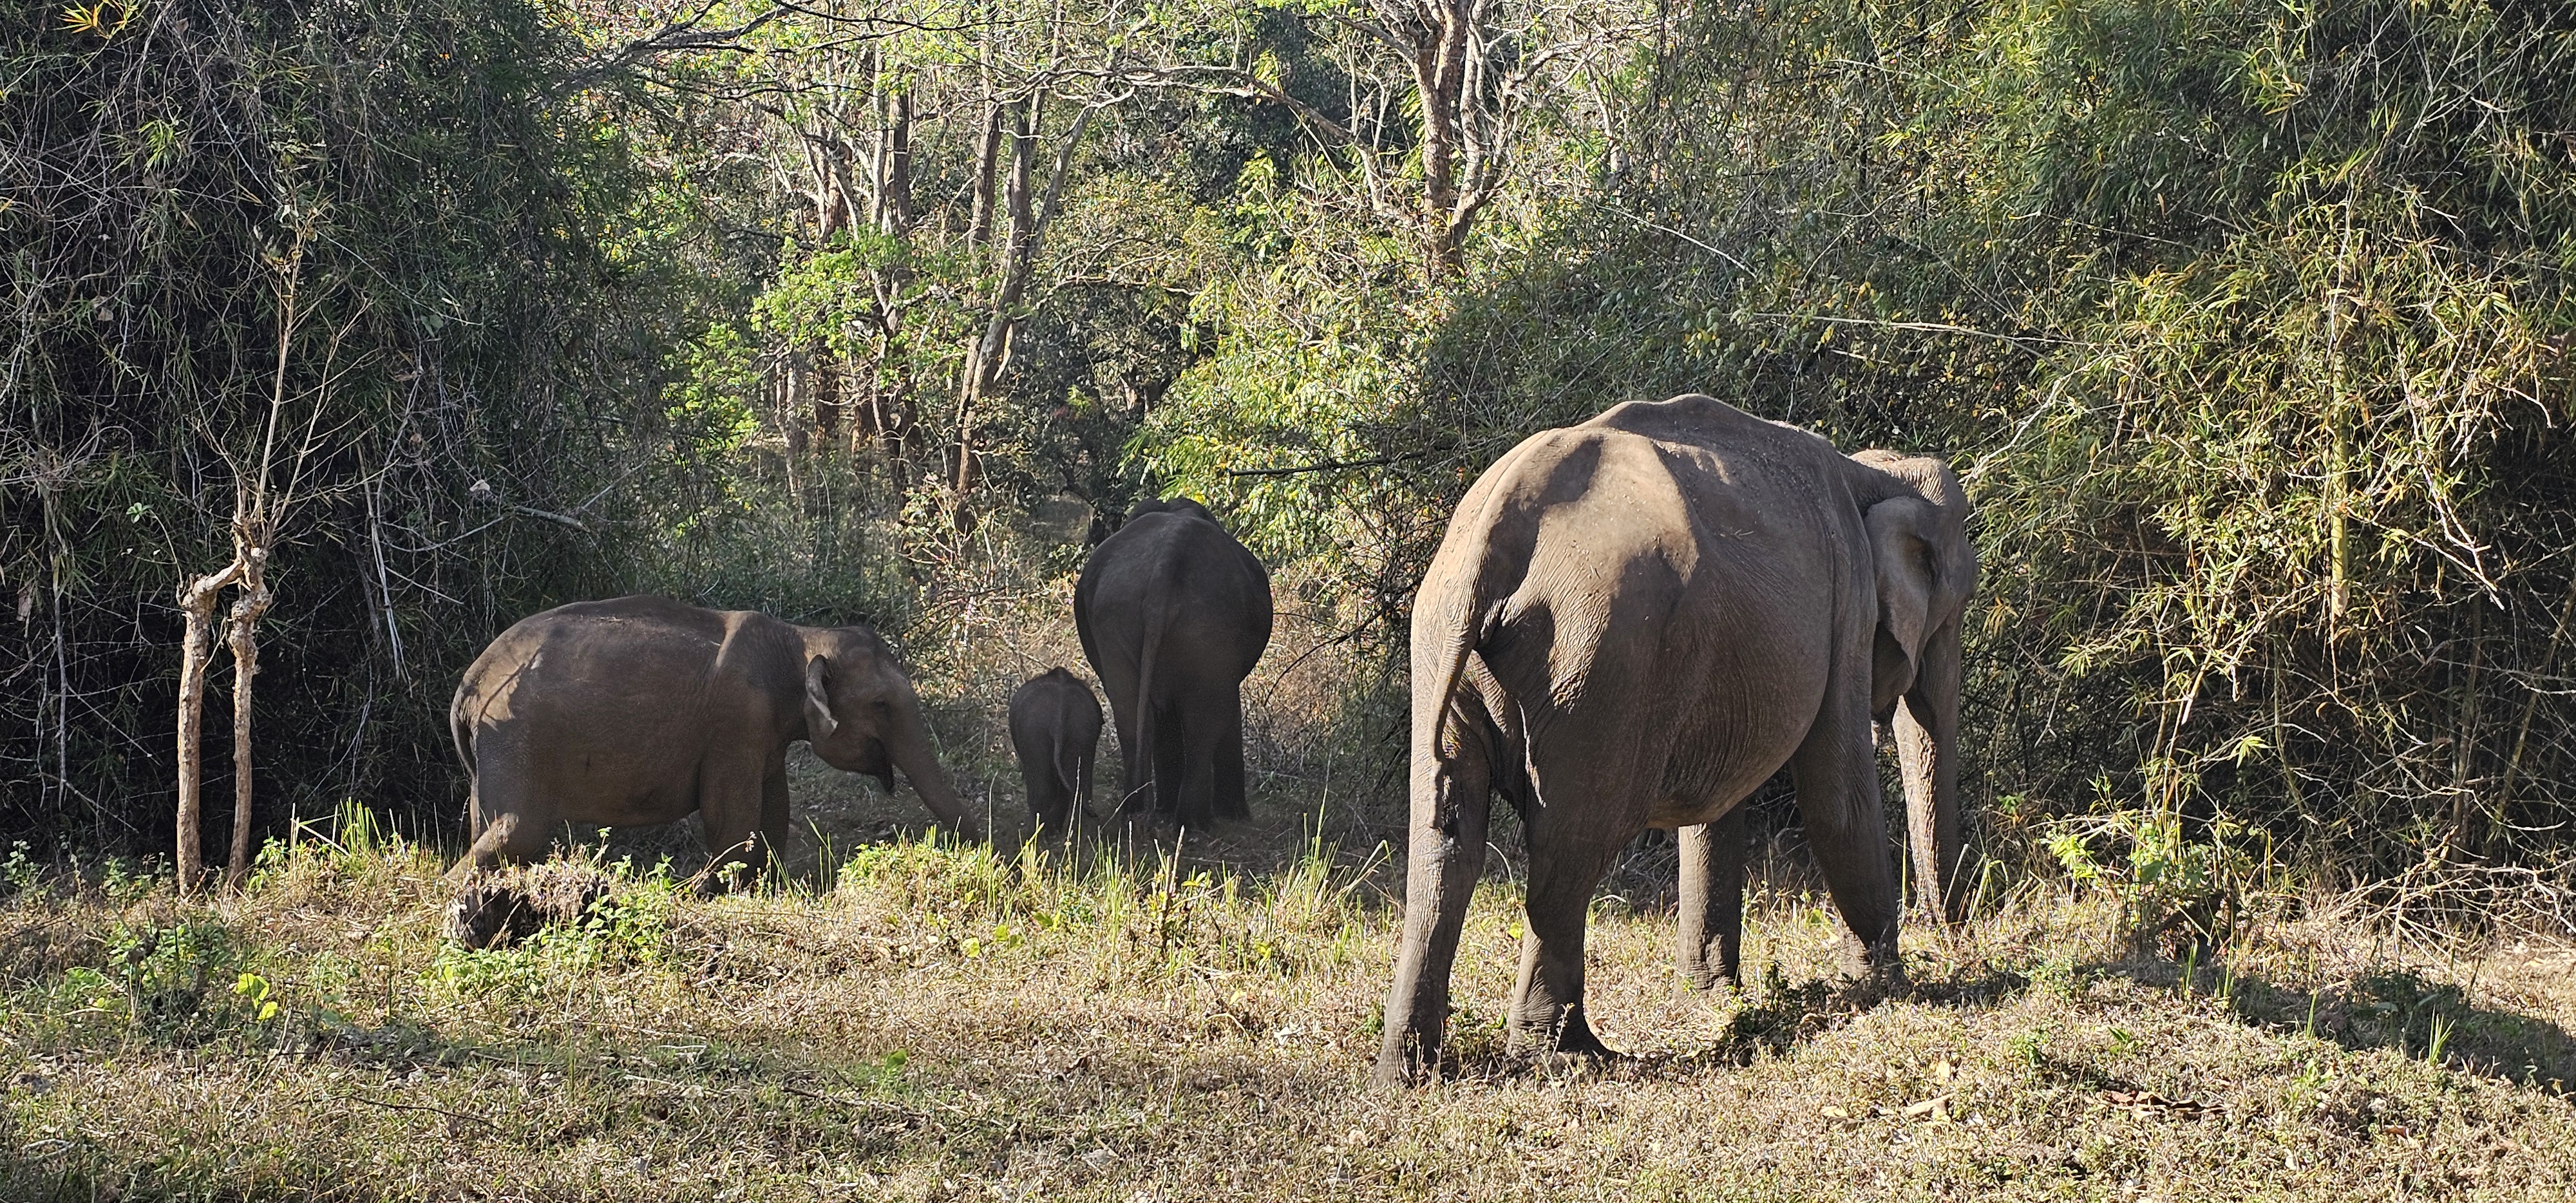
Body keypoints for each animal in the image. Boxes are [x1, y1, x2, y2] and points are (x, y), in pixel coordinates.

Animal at [1010, 670, 1103, 840]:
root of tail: (1060, 713)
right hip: (1081, 733)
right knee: (1076, 787)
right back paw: (1055, 832)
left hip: (1034, 732)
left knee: (1041, 792)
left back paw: (1039, 835)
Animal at [1072, 500, 1273, 829]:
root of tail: (1167, 563)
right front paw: (1235, 817)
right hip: (1209, 623)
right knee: (1204, 721)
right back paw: (1193, 823)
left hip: (1118, 615)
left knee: (1131, 715)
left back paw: (1137, 812)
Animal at [1381, 397, 1978, 1092]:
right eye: (1956, 607)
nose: (1951, 937)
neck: (1872, 470)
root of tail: (1498, 531)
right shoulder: (1847, 601)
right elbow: (1836, 794)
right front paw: (1888, 988)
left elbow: (1717, 808)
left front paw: (1712, 996)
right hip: (1599, 663)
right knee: (1571, 846)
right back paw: (1572, 1056)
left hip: (1443, 643)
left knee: (1446, 841)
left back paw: (1407, 1073)